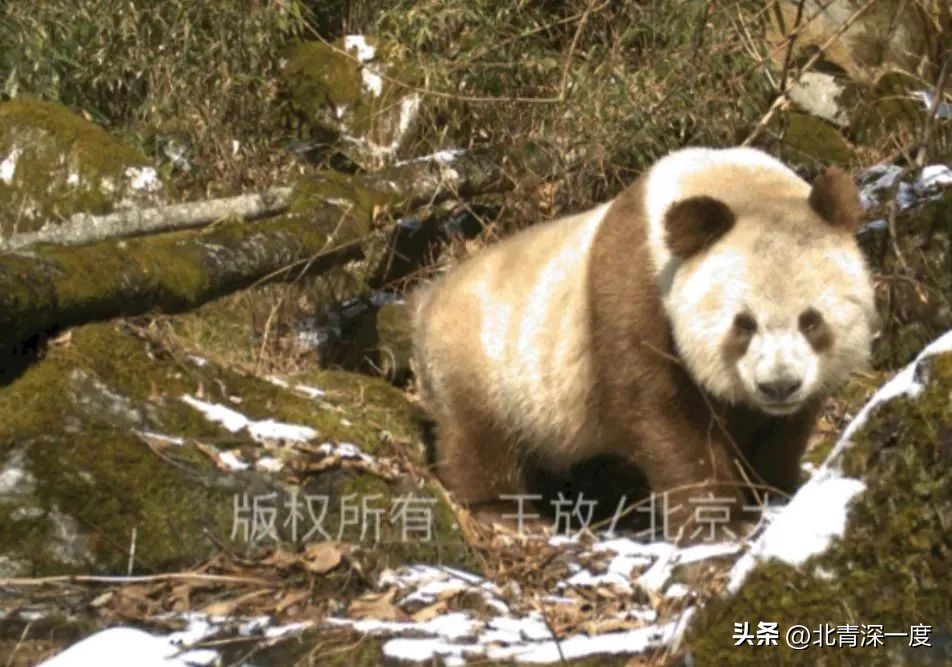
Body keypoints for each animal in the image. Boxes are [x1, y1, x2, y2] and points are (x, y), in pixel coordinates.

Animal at [410, 147, 876, 541]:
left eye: (811, 321)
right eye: (743, 325)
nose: (779, 385)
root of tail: (427, 299)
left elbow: (782, 432)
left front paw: (776, 493)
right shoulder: (639, 299)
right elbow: (661, 413)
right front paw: (719, 521)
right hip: (483, 356)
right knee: (479, 439)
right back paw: (507, 513)